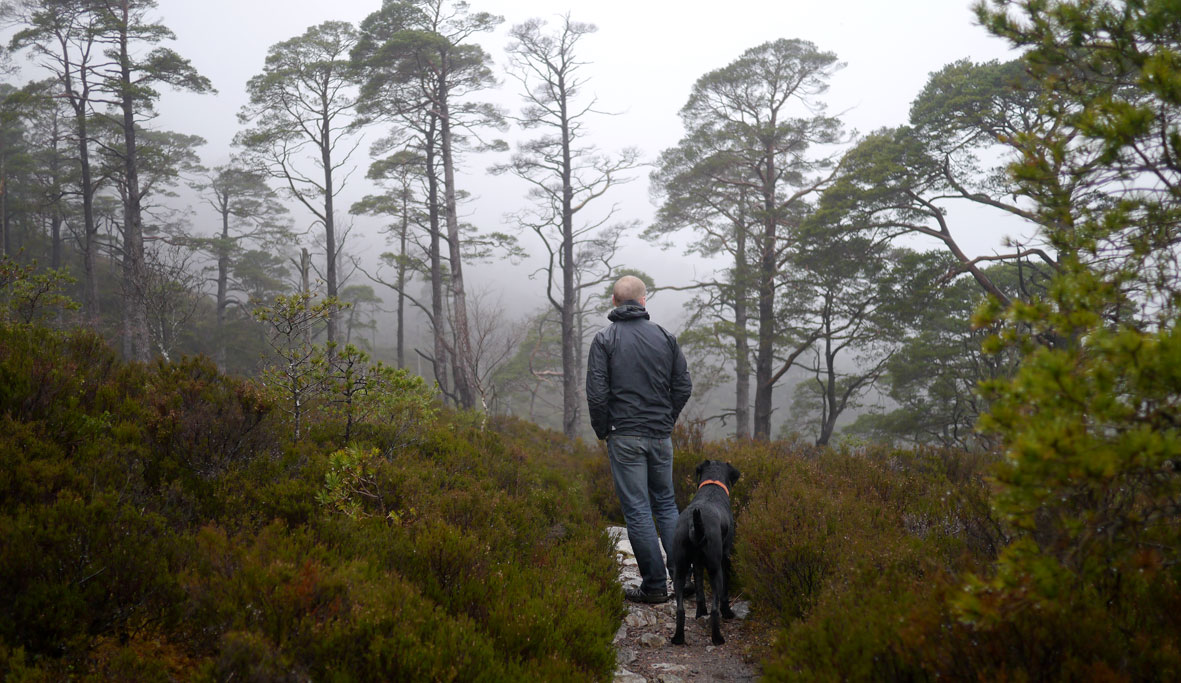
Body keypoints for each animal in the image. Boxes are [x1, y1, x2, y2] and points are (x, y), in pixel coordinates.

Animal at [670, 459, 740, 645]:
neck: (712, 486)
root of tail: (694, 524)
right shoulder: (724, 558)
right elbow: (724, 593)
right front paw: (727, 612)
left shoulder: (697, 562)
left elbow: (700, 590)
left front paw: (700, 612)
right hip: (715, 569)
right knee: (715, 609)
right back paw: (717, 638)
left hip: (680, 569)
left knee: (680, 609)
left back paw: (678, 637)